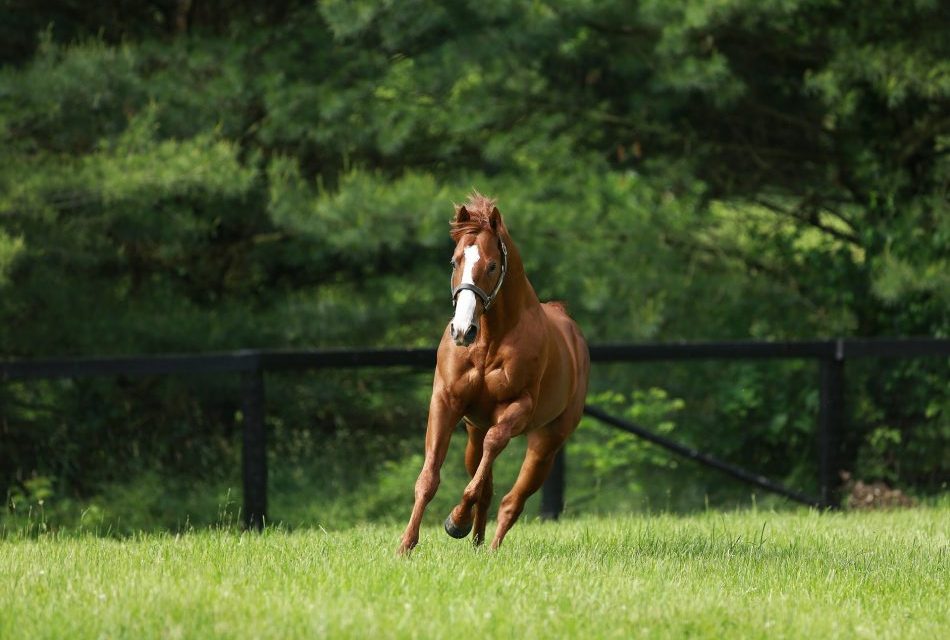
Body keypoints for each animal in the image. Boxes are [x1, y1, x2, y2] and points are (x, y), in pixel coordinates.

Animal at [394, 191, 588, 556]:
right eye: (455, 261)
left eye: (492, 265)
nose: (462, 330)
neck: (489, 340)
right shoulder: (445, 402)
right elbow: (429, 478)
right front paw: (406, 546)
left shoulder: (517, 407)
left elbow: (486, 465)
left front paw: (455, 521)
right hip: (473, 432)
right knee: (486, 484)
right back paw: (477, 540)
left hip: (546, 443)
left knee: (512, 500)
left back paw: (490, 546)